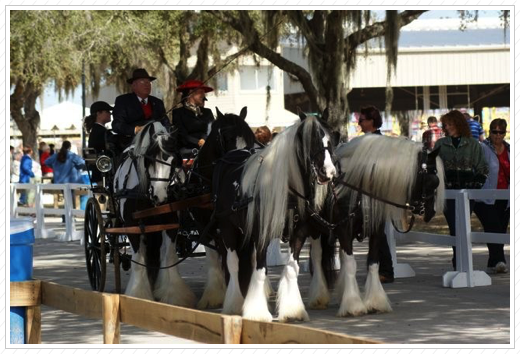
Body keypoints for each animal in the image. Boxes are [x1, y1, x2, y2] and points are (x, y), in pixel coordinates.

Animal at [112, 121, 196, 306]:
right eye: (148, 160)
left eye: (174, 161)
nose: (159, 195)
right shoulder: (132, 226)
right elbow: (138, 261)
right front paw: (138, 295)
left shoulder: (171, 223)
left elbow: (169, 257)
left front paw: (173, 295)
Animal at [212, 112, 338, 320]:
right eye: (310, 142)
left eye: (330, 141)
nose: (328, 173)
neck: (287, 190)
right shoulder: (261, 235)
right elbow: (260, 269)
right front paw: (257, 313)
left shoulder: (299, 234)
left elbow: (291, 269)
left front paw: (293, 310)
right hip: (227, 228)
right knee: (233, 263)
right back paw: (235, 304)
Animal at [306, 134, 444, 316]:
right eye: (432, 181)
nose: (431, 213)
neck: (361, 189)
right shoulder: (344, 229)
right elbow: (351, 265)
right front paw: (353, 305)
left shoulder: (376, 231)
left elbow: (372, 263)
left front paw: (375, 302)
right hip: (315, 229)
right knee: (317, 256)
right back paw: (319, 296)